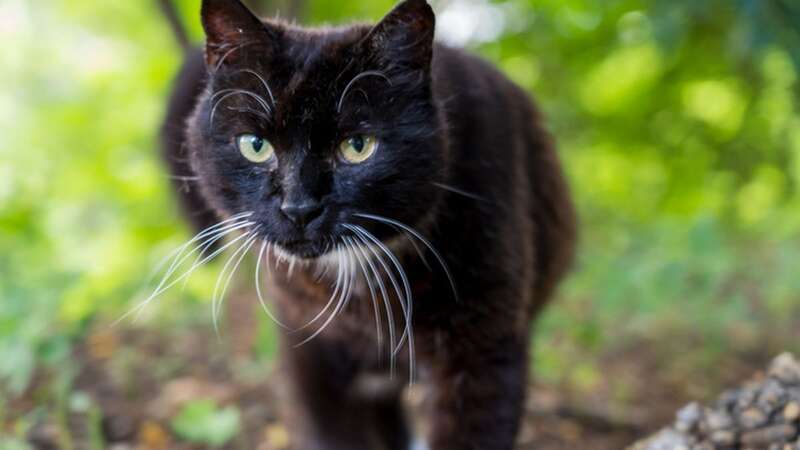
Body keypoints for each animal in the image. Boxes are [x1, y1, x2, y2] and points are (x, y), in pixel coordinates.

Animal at [159, 0, 580, 450]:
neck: (361, 286)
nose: (299, 207)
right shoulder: (310, 352)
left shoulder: (483, 350)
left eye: (357, 146)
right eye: (255, 145)